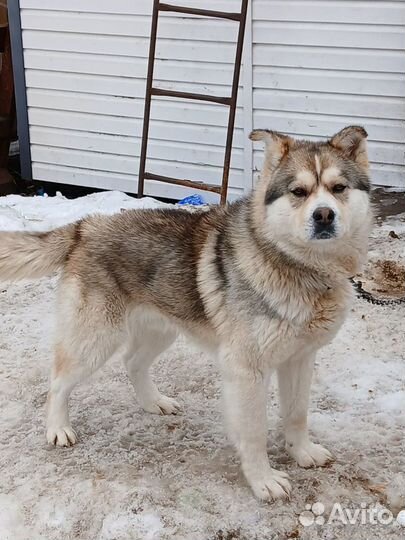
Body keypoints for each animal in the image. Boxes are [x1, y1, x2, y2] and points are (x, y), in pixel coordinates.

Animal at [0, 126, 372, 502]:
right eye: (299, 192)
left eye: (338, 188)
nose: (323, 216)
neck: (302, 269)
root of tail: (85, 226)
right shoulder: (247, 371)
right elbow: (254, 434)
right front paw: (263, 480)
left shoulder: (300, 359)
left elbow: (297, 414)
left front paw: (302, 452)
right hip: (94, 341)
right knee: (57, 382)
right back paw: (58, 428)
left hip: (161, 329)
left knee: (132, 362)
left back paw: (154, 403)